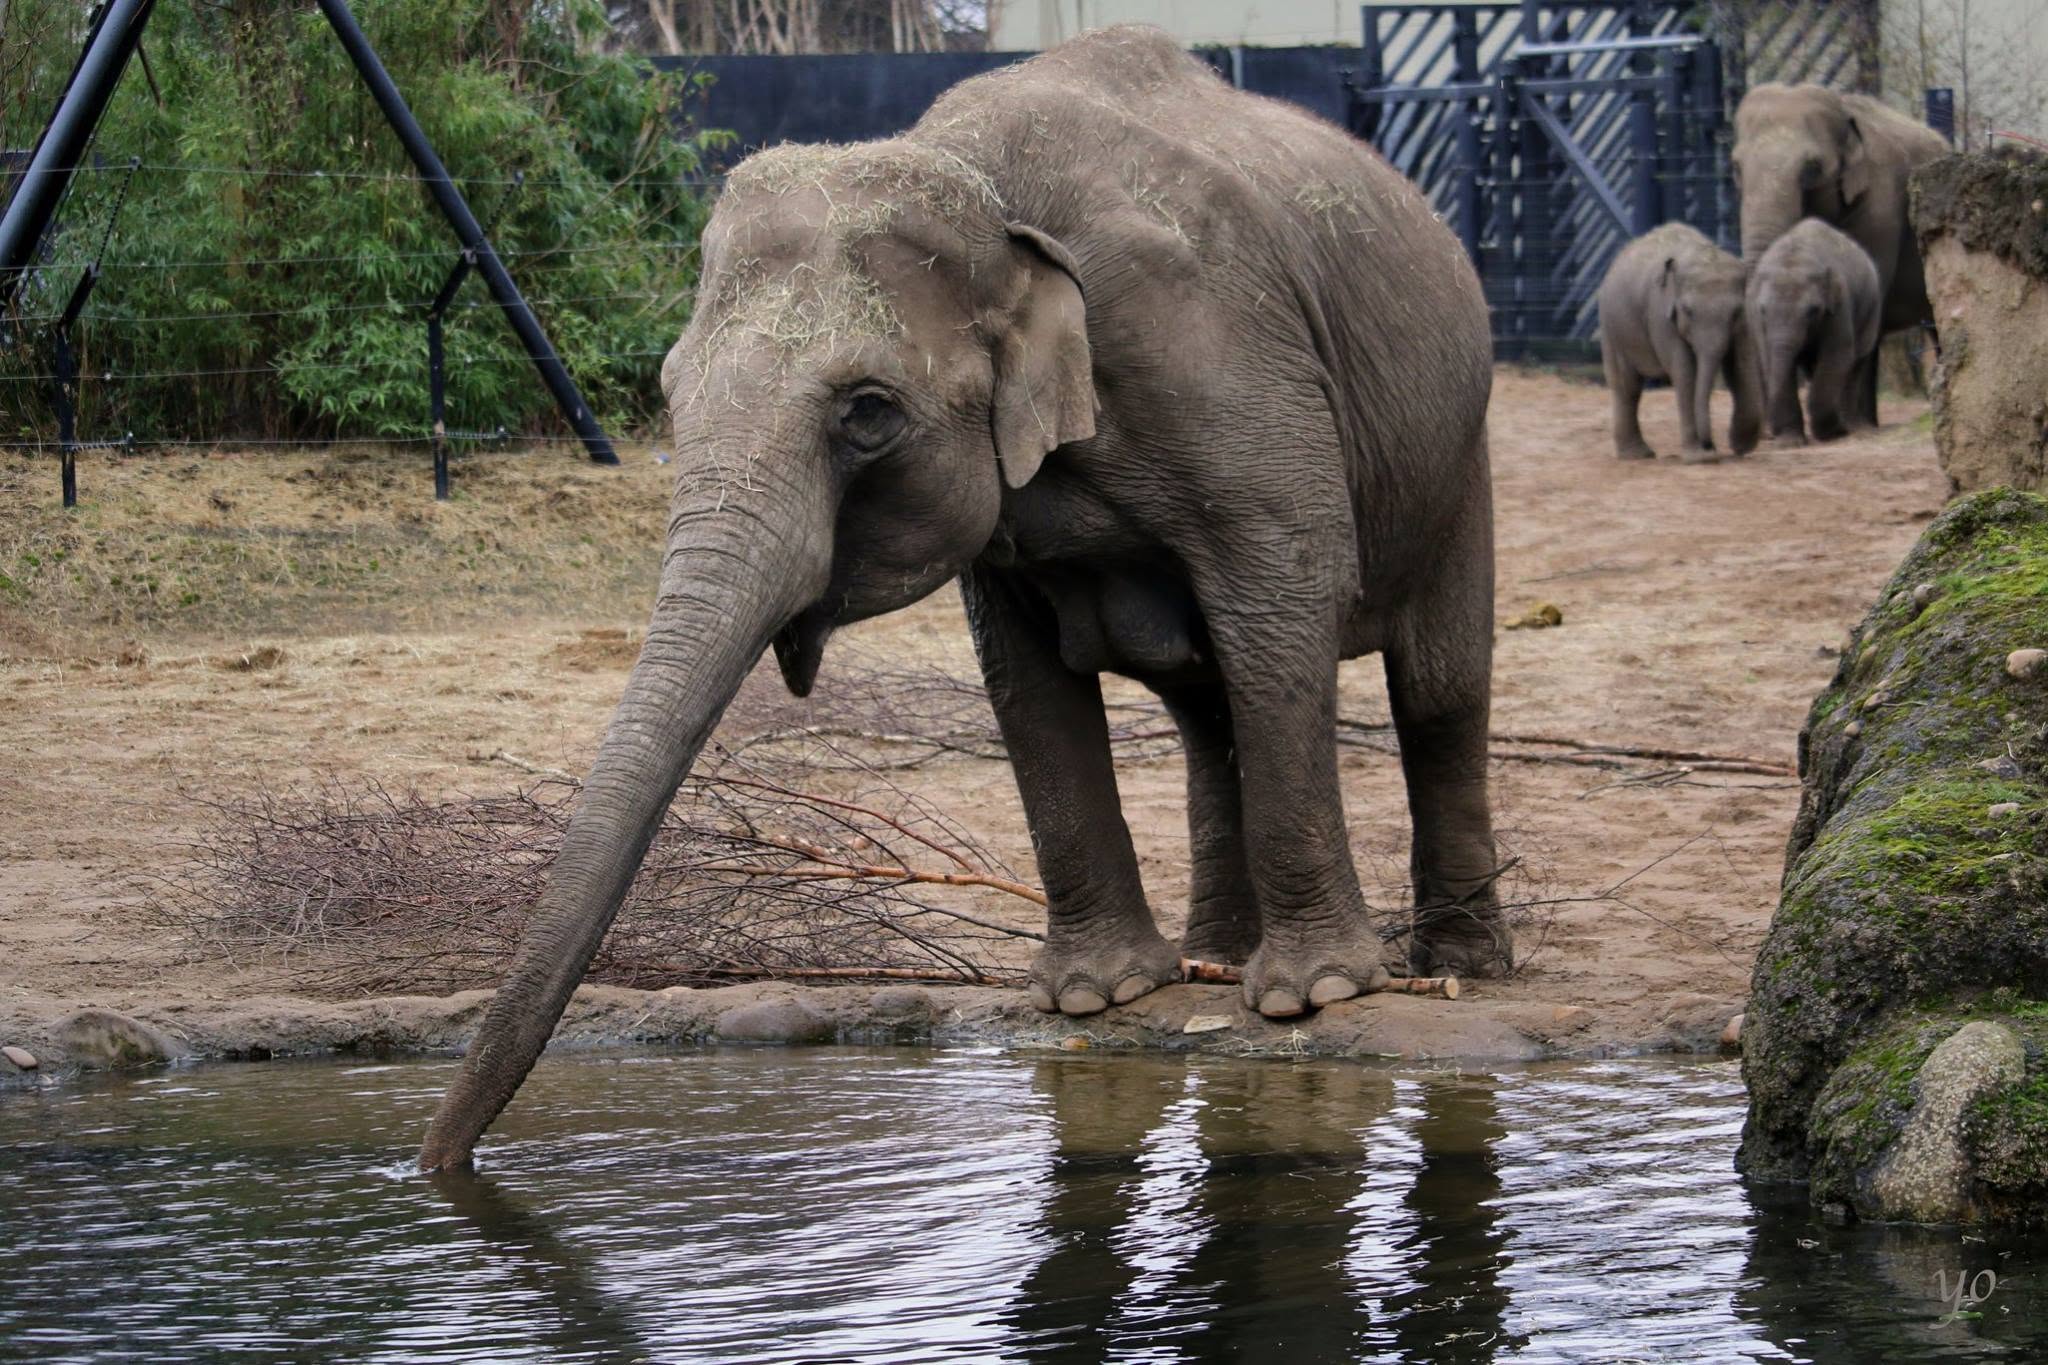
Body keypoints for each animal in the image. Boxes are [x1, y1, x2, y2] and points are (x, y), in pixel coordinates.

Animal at [417, 25, 1503, 1171]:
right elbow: (1023, 681)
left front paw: (1312, 997)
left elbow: (1284, 599)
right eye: (669, 390)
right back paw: (1211, 960)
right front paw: (1095, 997)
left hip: (1458, 445)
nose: (439, 1168)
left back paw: (1458, 963)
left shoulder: (1227, 374)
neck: (982, 186)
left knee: (1432, 688)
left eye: (866, 413)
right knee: (1209, 710)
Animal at [1596, 223, 1763, 463]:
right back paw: (1637, 455)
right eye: (1688, 311)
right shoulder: (1659, 315)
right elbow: (1685, 371)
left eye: (1735, 313)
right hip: (1612, 328)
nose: (1710, 445)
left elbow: (1741, 365)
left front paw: (1741, 446)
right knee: (1627, 386)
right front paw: (1699, 458)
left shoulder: (1744, 321)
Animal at [1746, 218, 1883, 445]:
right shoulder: (1756, 320)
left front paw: (1831, 433)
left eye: (1813, 311)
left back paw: (1852, 428)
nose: (1772, 434)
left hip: (1871, 309)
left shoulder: (1840, 306)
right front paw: (1789, 442)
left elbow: (1837, 355)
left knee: (1856, 361)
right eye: (1763, 310)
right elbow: (1771, 360)